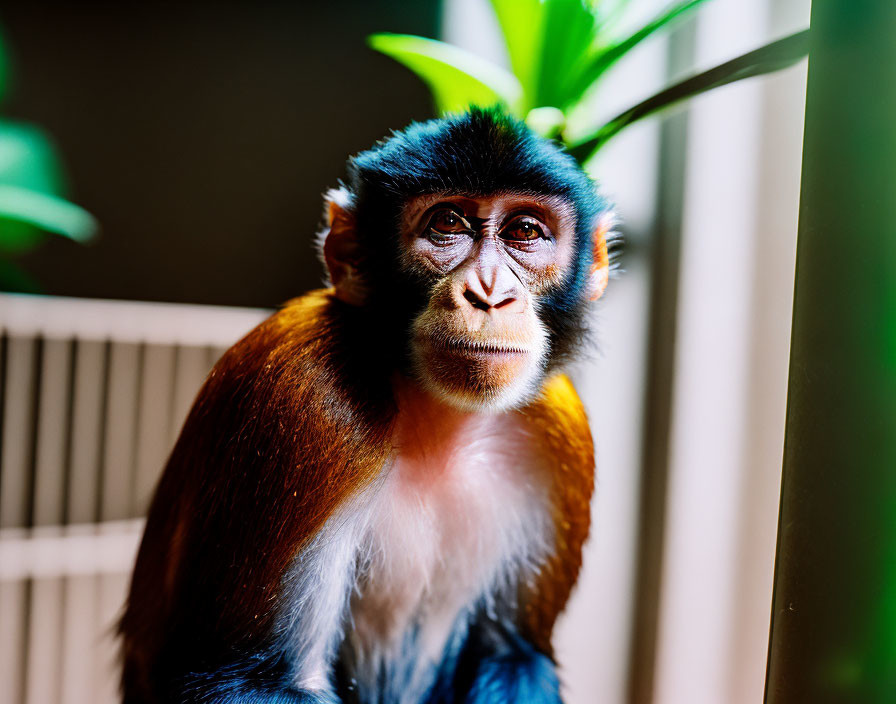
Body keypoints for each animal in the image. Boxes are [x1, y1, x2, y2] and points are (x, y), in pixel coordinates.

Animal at [119, 106, 616, 704]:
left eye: (525, 232)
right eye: (447, 225)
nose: (490, 293)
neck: (437, 422)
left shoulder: (558, 423)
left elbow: (514, 652)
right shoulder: (309, 399)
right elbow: (247, 678)